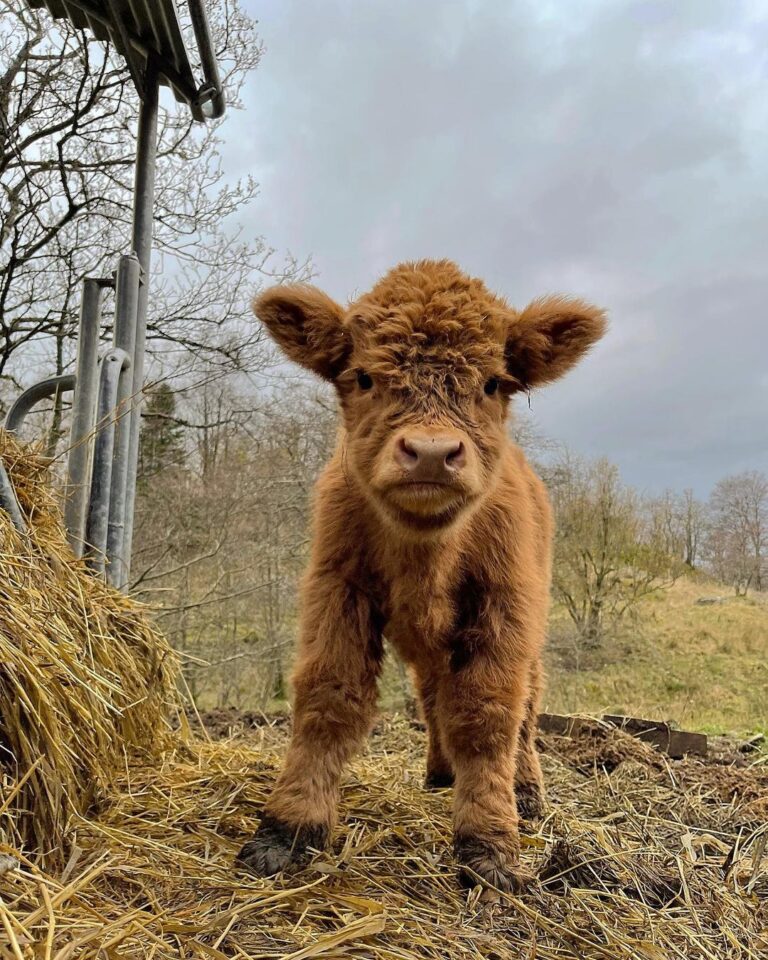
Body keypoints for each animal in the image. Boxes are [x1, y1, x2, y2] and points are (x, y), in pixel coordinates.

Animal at [236, 258, 608, 888]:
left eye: (493, 383)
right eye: (362, 377)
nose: (432, 453)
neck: (426, 558)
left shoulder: (502, 608)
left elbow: (488, 714)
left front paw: (489, 845)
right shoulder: (337, 589)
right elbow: (329, 698)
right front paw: (285, 831)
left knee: (526, 708)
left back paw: (526, 790)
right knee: (433, 696)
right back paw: (440, 772)